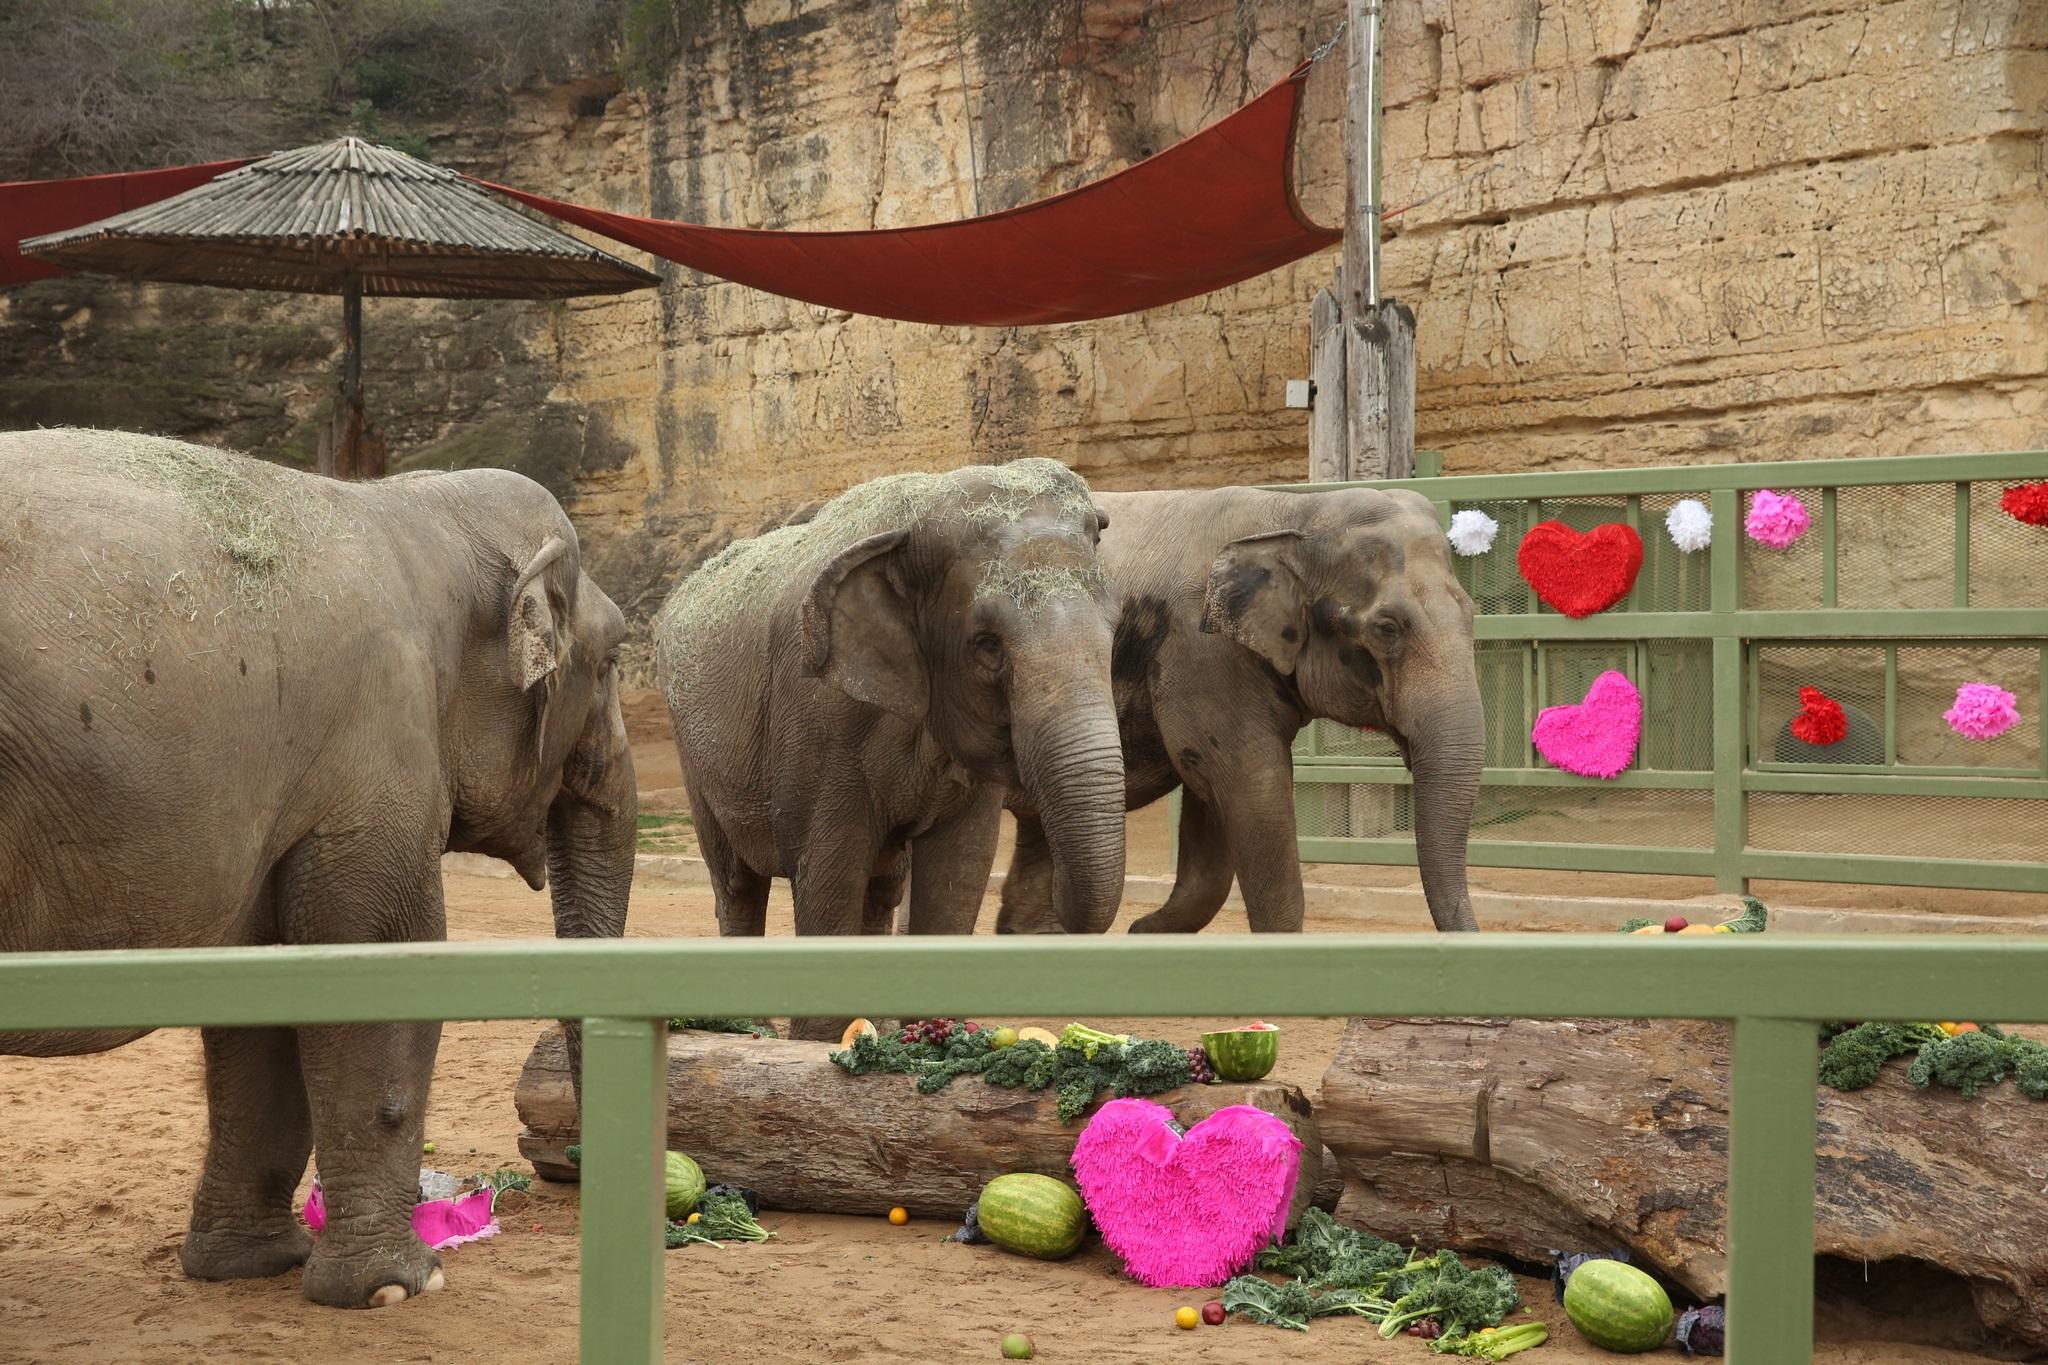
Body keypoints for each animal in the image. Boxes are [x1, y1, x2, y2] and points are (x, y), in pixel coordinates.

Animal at [0, 428, 637, 1307]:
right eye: (612, 660)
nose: (568, 1164)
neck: (410, 509)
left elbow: (266, 992)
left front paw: (255, 1263)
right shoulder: (376, 751)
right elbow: (382, 963)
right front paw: (399, 1286)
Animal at [654, 459, 1125, 1038]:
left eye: (1116, 628)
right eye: (988, 646)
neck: (914, 519)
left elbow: (960, 871)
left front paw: (928, 1036)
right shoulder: (818, 717)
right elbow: (829, 874)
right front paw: (819, 1044)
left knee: (880, 887)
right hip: (694, 755)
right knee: (738, 884)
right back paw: (749, 1031)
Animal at [994, 485, 1483, 935]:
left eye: (1474, 612)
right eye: (1387, 628)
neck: (1296, 512)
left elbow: (1210, 806)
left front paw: (1145, 931)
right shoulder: (1201, 654)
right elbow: (1253, 788)